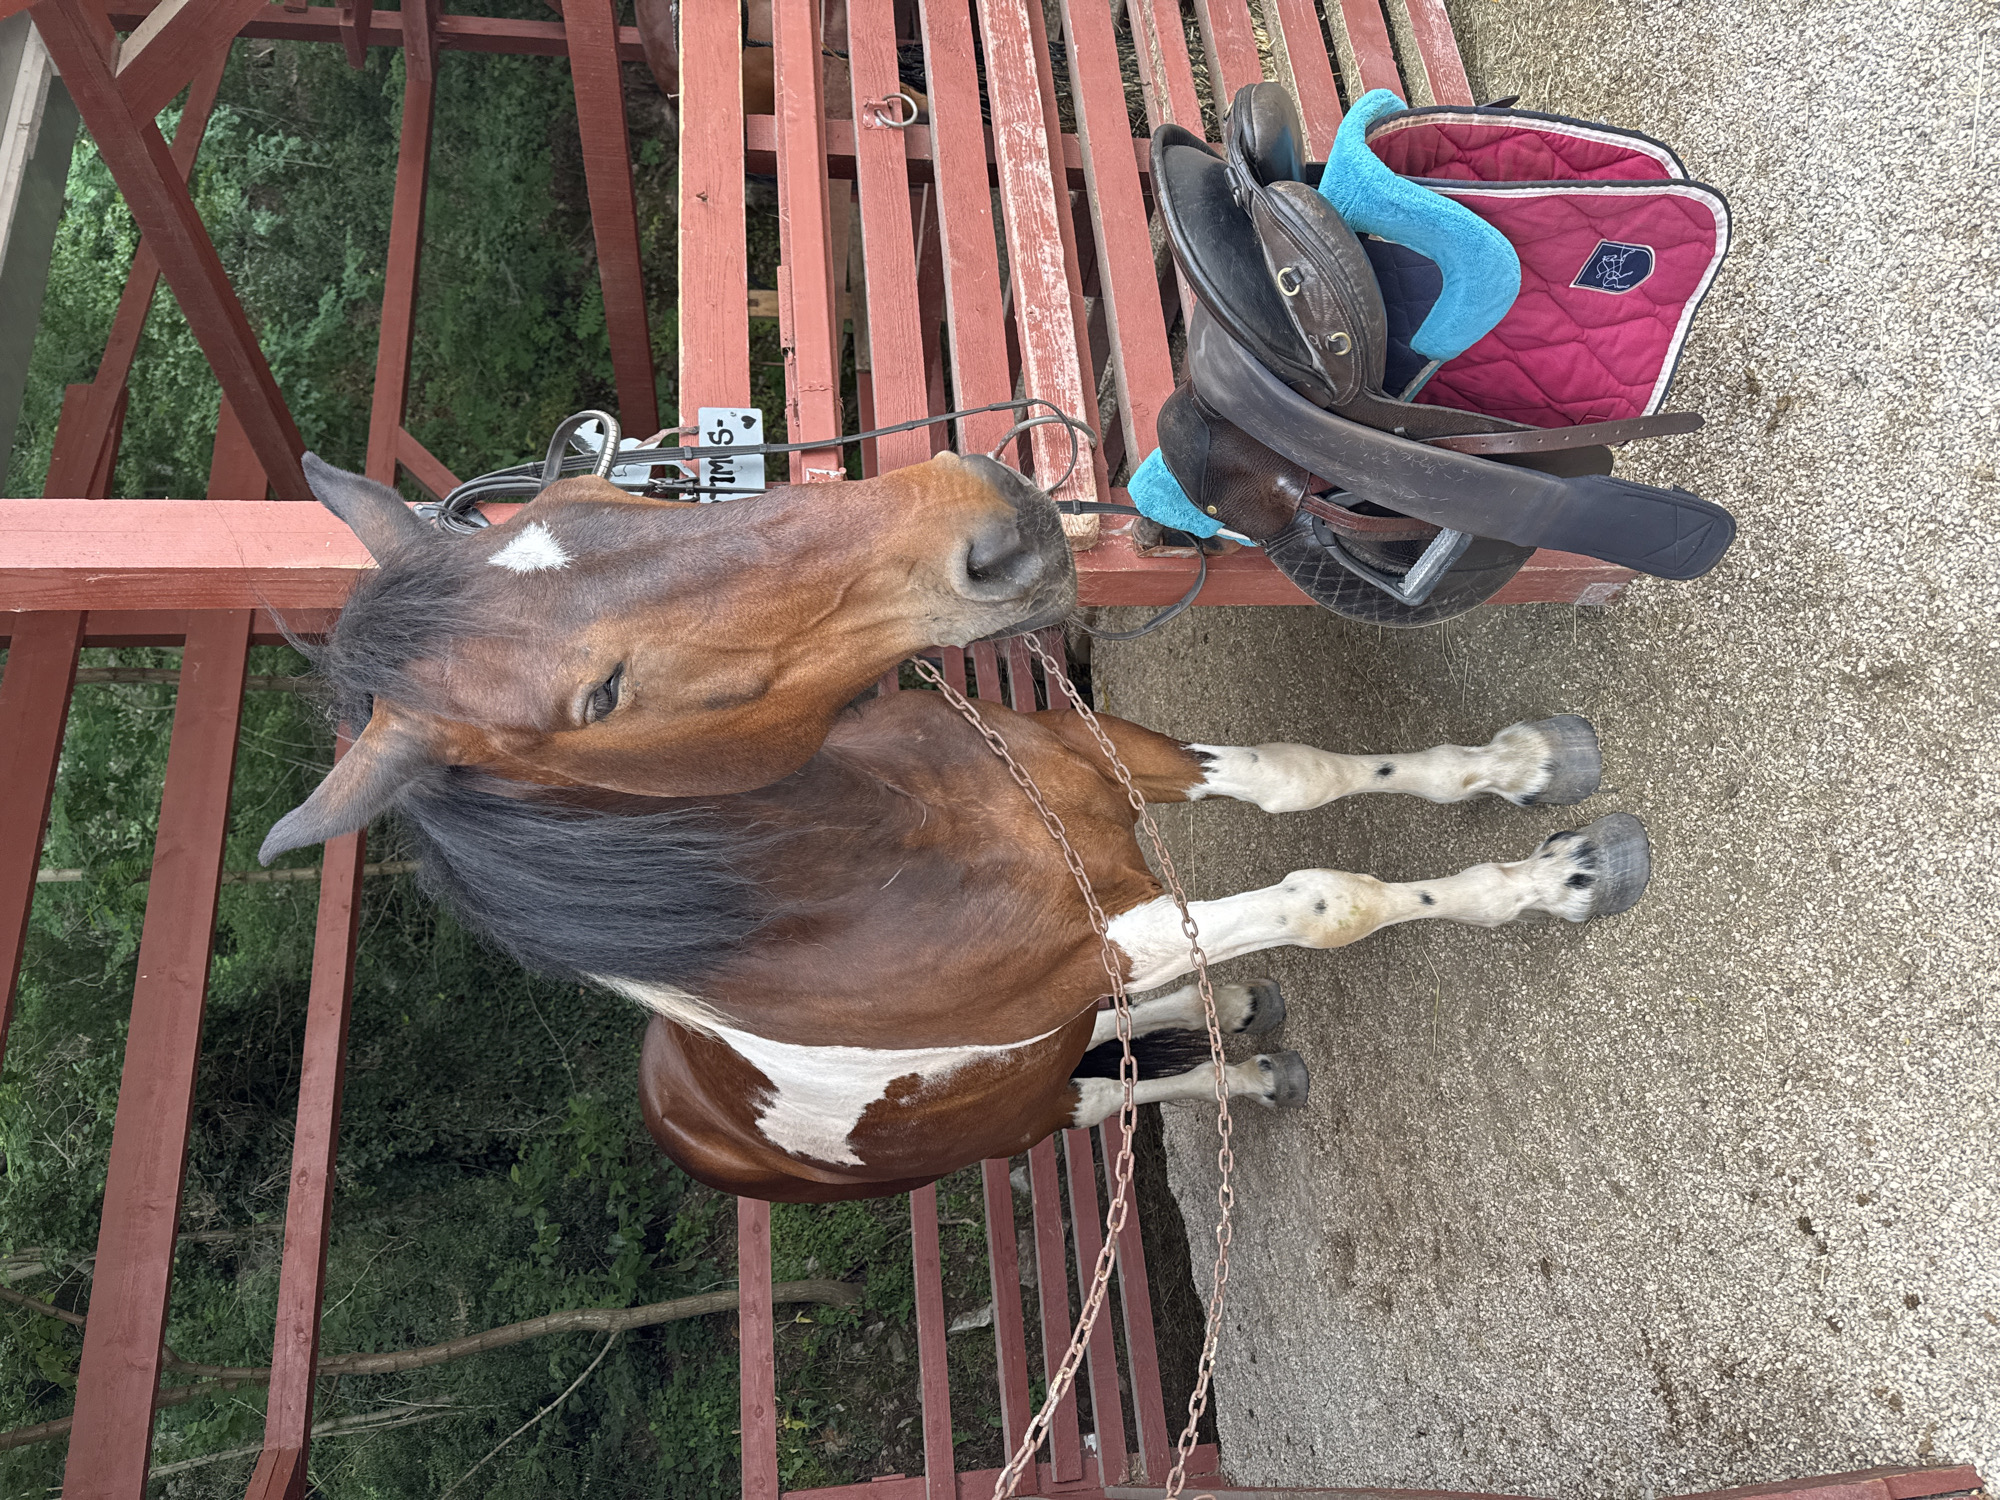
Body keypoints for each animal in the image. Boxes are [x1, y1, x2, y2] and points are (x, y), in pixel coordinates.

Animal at [261, 452, 1650, 1203]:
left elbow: (1292, 778)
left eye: (601, 485)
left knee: (1120, 1032)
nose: (987, 522)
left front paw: (1529, 764)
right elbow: (1328, 897)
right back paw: (1249, 1063)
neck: (897, 848)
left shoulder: (1110, 769)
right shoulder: (1110, 936)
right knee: (1108, 1085)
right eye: (598, 698)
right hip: (1028, 1114)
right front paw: (1566, 875)